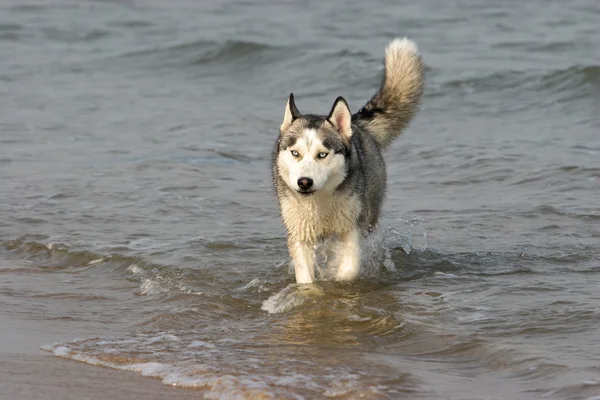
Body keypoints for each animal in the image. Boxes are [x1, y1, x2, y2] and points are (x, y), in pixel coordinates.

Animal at [272, 36, 422, 282]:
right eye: (295, 153)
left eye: (322, 154)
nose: (304, 182)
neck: (320, 201)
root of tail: (355, 123)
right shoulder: (300, 235)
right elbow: (306, 278)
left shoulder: (351, 229)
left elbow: (349, 269)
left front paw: (338, 279)